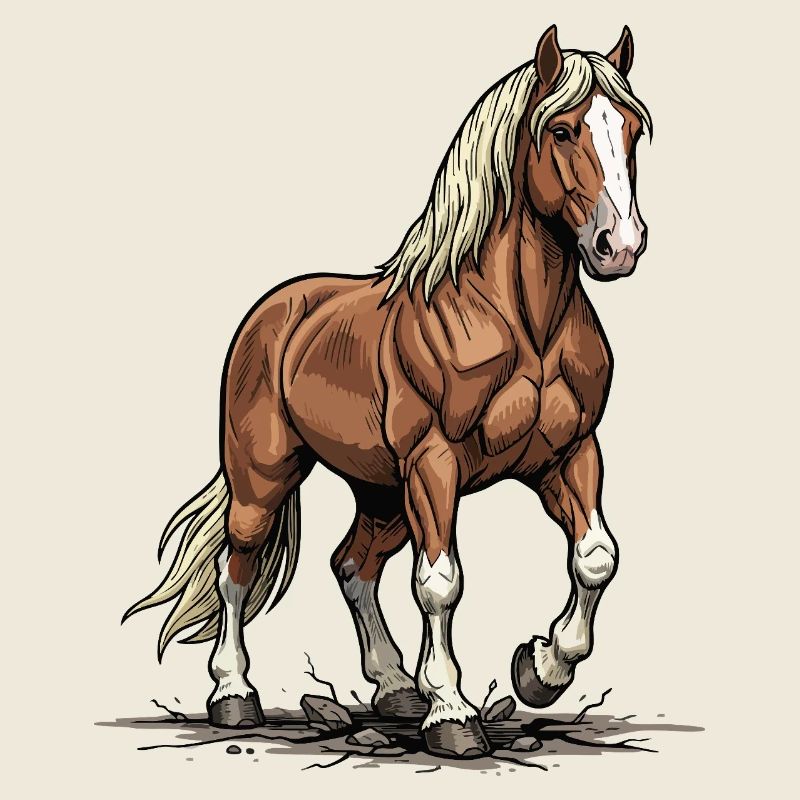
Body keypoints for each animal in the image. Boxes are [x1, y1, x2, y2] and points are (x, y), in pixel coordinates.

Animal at [125, 24, 652, 759]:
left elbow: (597, 558)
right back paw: (234, 695)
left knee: (352, 564)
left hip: (382, 492)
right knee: (238, 567)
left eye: (631, 128)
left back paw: (396, 686)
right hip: (266, 476)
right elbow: (440, 584)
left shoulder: (568, 455)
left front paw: (541, 669)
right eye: (565, 129)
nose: (619, 245)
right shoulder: (435, 465)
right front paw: (453, 715)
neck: (521, 322)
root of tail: (274, 311)